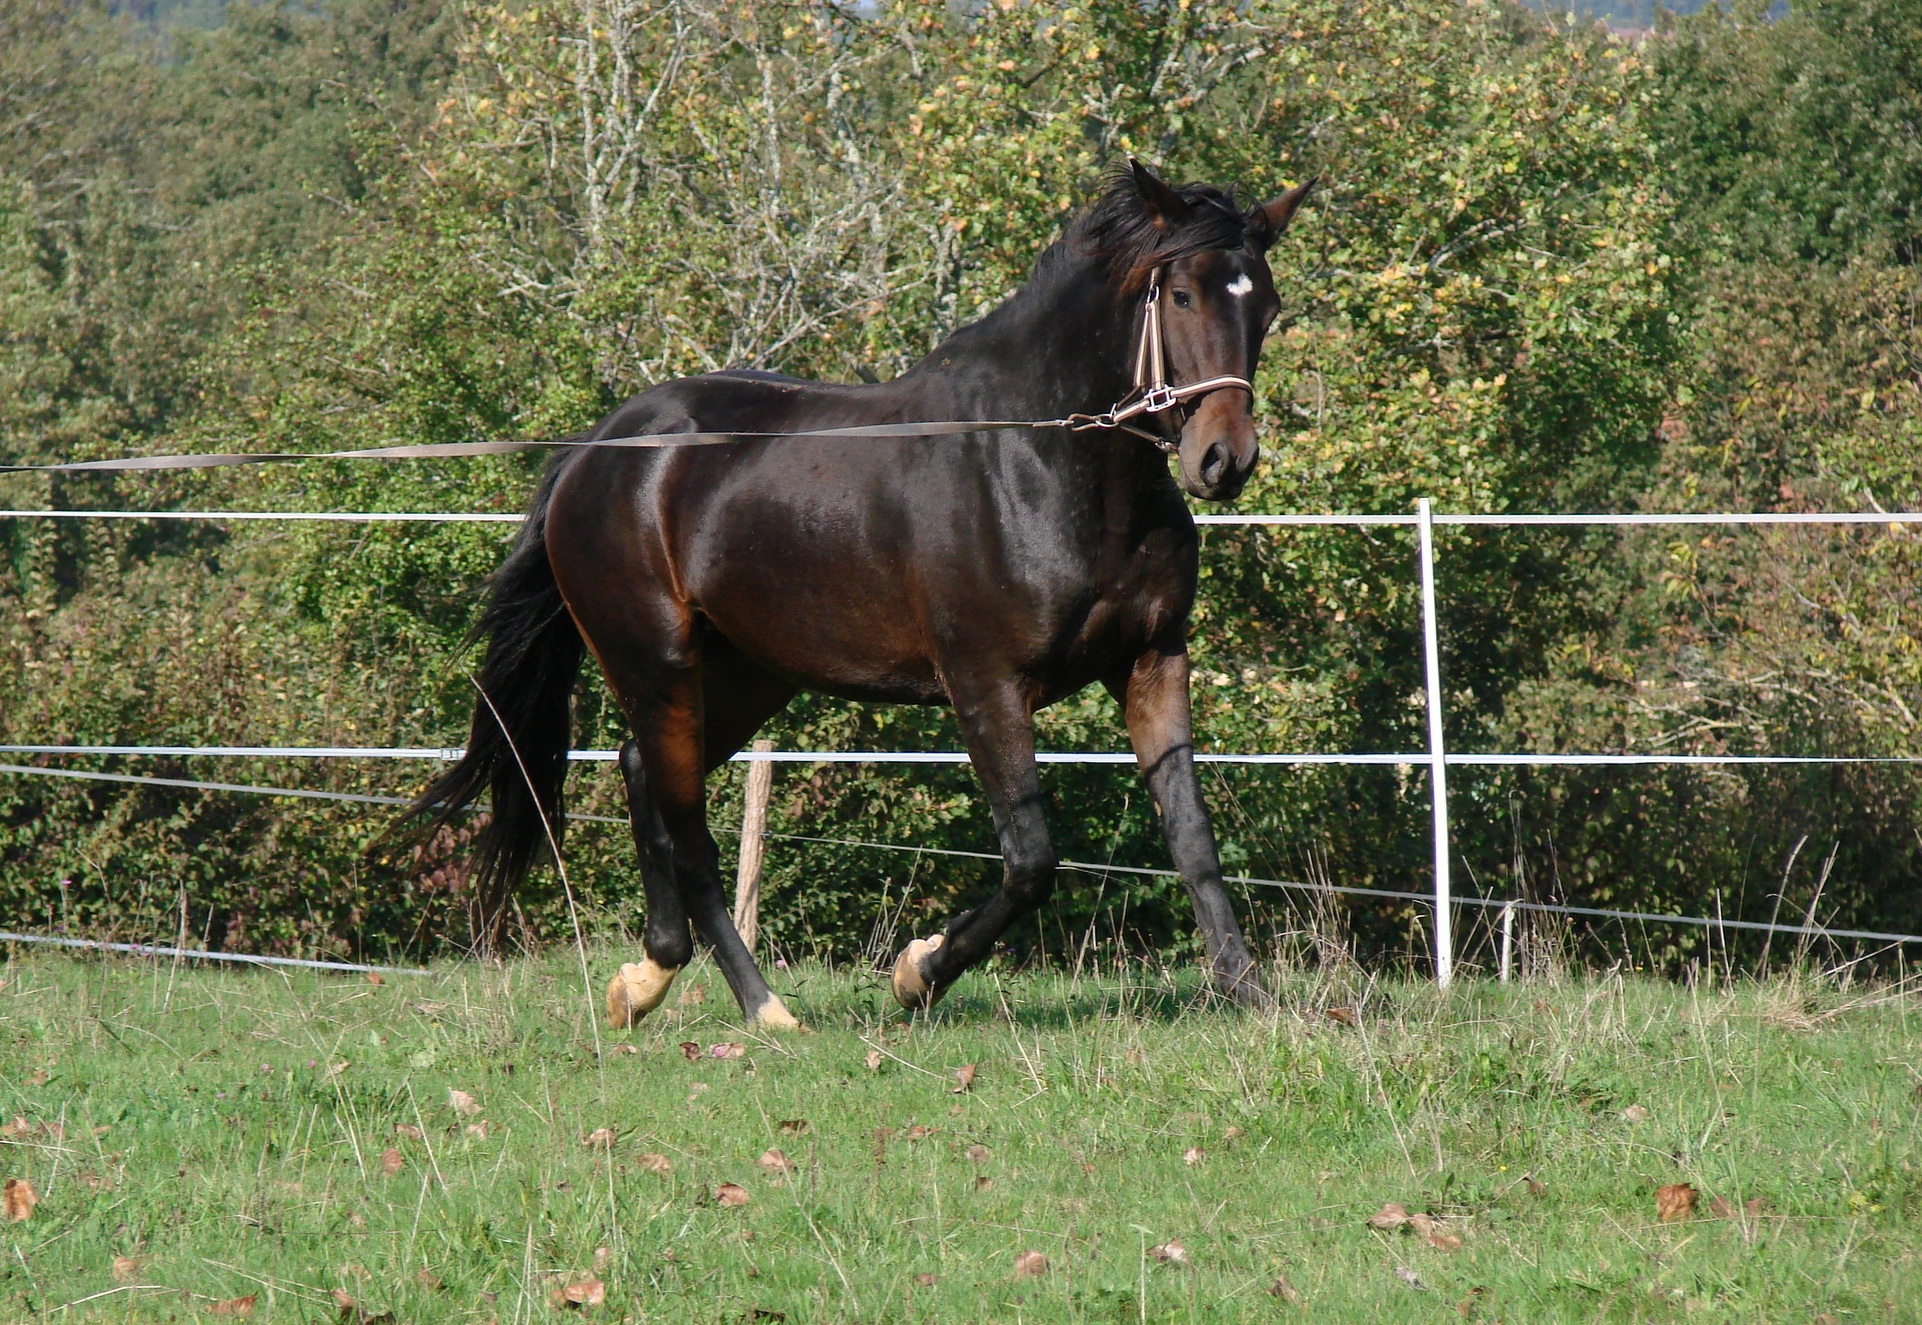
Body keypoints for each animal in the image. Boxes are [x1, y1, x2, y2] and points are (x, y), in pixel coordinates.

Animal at [410, 161, 1314, 1028]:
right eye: (1183, 293)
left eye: (1266, 306)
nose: (1224, 459)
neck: (1043, 460)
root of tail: (598, 447)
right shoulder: (985, 684)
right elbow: (1031, 861)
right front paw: (919, 973)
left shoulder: (1153, 661)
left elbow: (1192, 838)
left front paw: (1250, 996)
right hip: (655, 663)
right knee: (689, 831)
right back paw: (764, 1008)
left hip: (748, 673)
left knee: (642, 775)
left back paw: (647, 979)